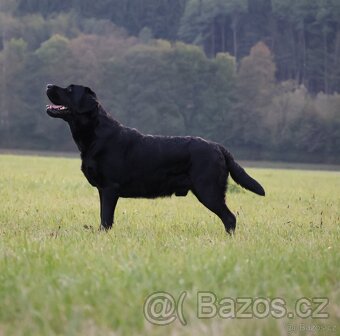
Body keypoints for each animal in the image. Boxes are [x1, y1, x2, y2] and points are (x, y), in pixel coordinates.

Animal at [45, 85, 266, 235]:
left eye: (70, 90)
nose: (48, 85)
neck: (94, 135)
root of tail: (219, 147)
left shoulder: (109, 188)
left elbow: (106, 218)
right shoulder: (103, 189)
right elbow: (103, 216)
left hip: (208, 190)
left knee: (230, 218)